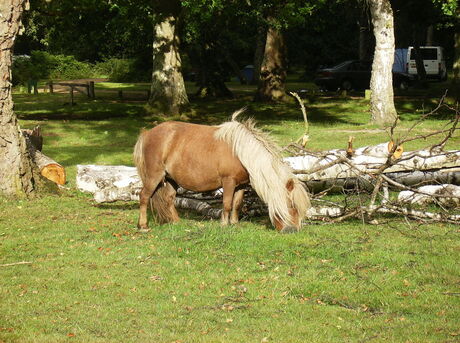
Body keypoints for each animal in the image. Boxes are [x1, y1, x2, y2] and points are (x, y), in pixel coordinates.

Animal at [134, 110, 312, 234]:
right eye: (292, 205)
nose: (292, 230)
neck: (241, 152)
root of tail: (147, 133)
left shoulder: (241, 185)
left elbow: (237, 204)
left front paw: (234, 223)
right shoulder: (228, 182)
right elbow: (226, 203)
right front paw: (224, 224)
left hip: (171, 179)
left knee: (169, 199)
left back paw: (177, 222)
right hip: (154, 176)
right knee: (144, 196)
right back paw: (143, 226)